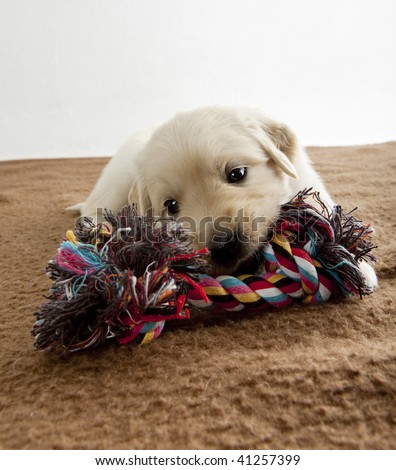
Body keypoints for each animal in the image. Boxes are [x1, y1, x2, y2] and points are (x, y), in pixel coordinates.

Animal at [70, 106, 378, 288]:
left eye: (237, 173)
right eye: (171, 205)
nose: (224, 246)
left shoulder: (306, 181)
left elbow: (326, 215)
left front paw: (354, 263)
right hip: (116, 181)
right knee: (93, 211)